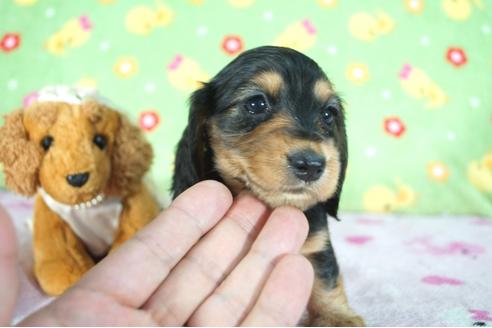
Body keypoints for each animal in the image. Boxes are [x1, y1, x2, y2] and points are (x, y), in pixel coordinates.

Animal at [171, 45, 364, 326]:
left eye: (328, 114)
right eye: (256, 103)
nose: (311, 165)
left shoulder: (318, 242)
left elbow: (326, 279)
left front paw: (337, 316)